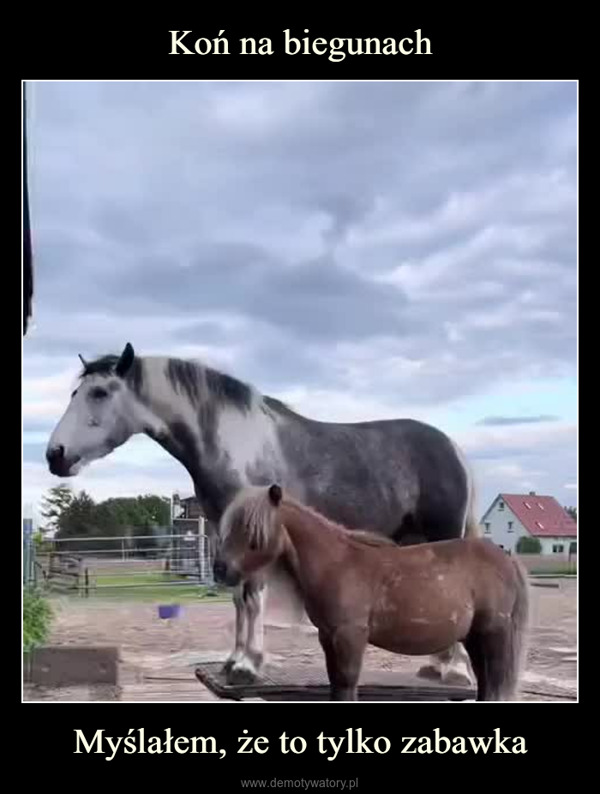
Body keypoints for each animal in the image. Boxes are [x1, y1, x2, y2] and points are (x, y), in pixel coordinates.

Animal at [214, 482, 528, 700]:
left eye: (252, 531)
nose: (220, 569)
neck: (336, 563)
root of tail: (506, 558)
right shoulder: (328, 636)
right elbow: (336, 684)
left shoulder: (350, 636)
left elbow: (346, 684)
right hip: (475, 637)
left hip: (494, 634)